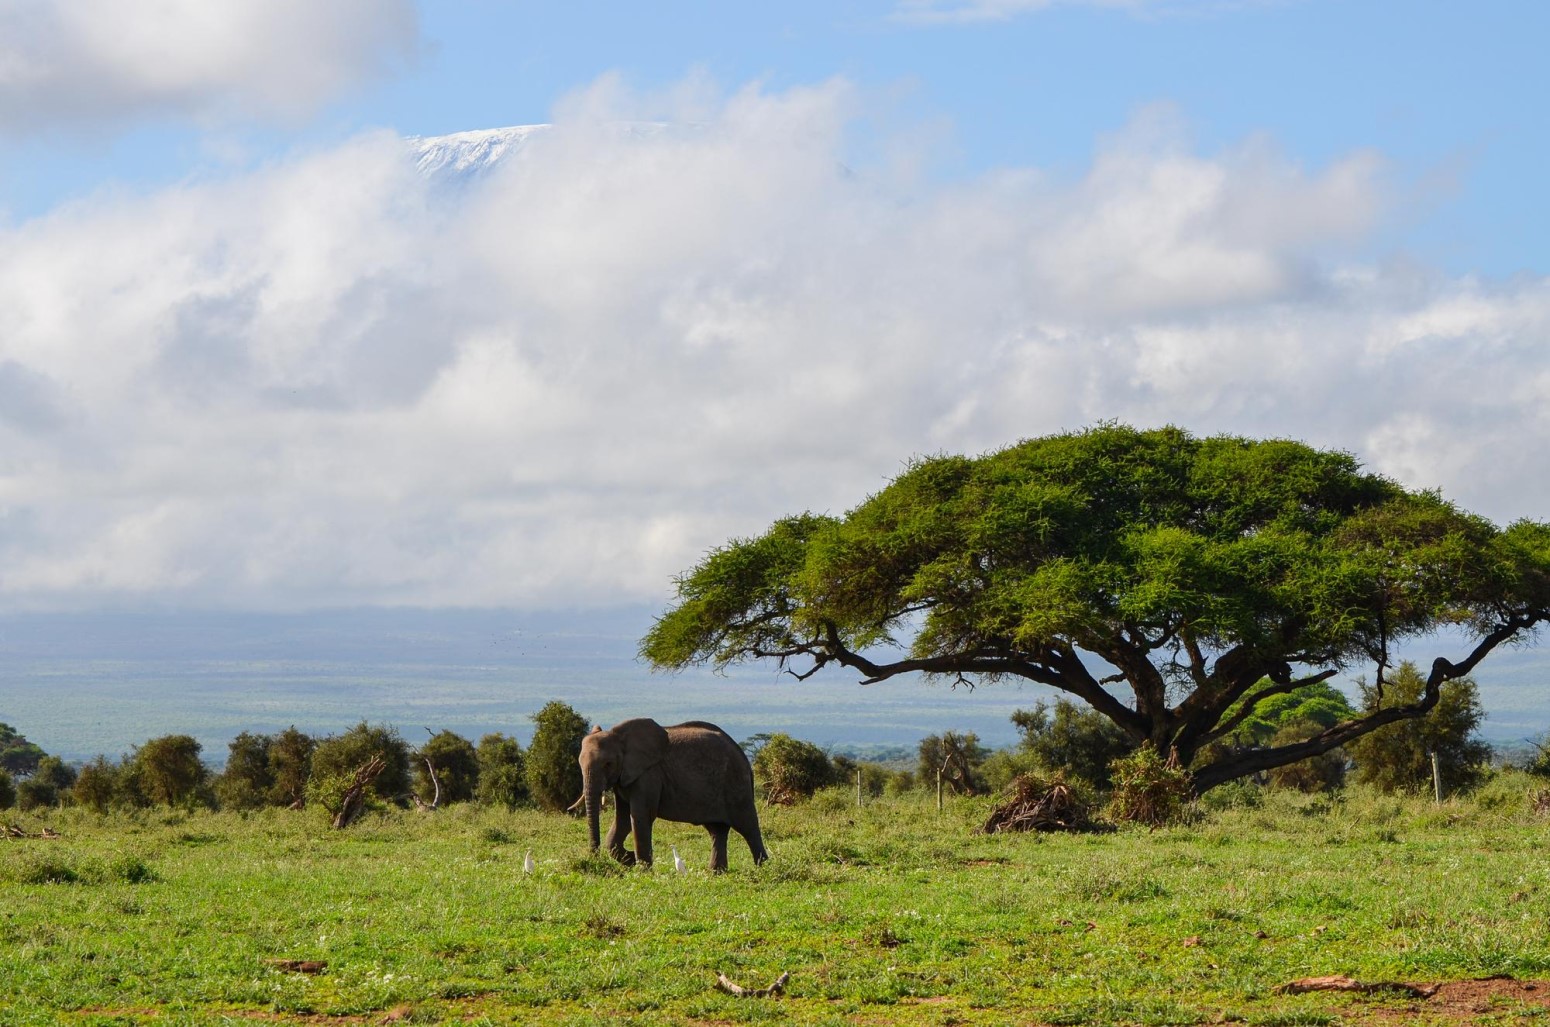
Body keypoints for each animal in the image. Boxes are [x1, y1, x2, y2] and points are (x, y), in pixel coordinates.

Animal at [579, 718, 771, 873]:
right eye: (579, 763)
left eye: (608, 764)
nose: (594, 858)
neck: (618, 736)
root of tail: (745, 759)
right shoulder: (625, 778)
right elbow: (623, 818)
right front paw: (631, 859)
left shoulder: (649, 775)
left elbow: (640, 816)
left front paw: (643, 871)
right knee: (717, 830)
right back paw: (716, 873)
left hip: (736, 783)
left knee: (748, 826)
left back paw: (763, 869)